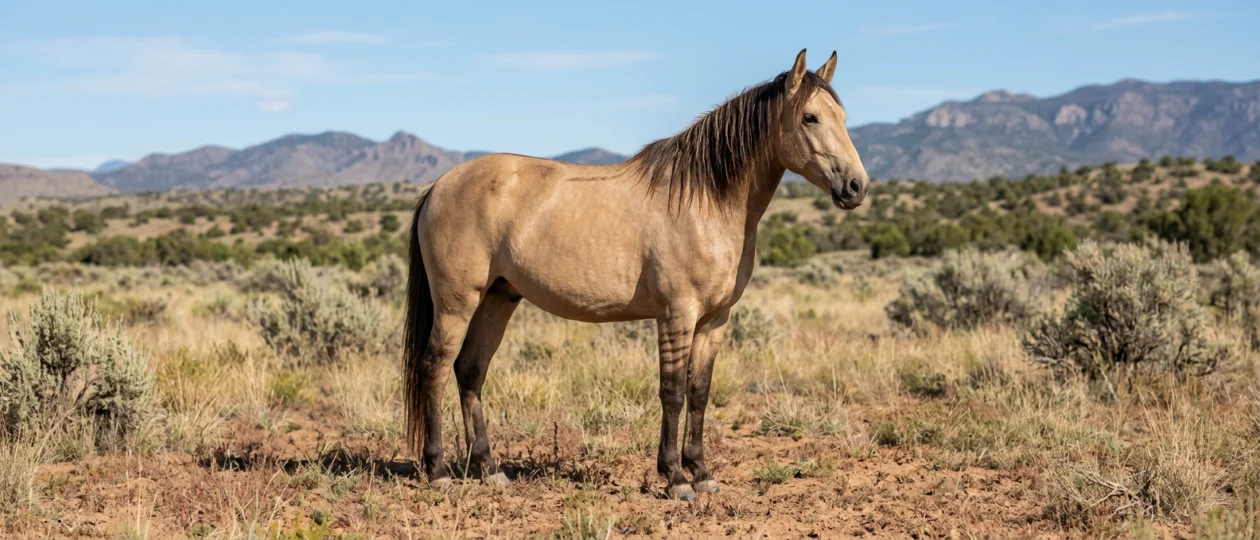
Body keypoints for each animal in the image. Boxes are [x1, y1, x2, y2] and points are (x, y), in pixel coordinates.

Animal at [403, 49, 869, 500]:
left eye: (843, 117)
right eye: (810, 117)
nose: (857, 187)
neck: (704, 200)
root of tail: (438, 186)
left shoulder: (715, 320)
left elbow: (699, 392)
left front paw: (702, 473)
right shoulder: (677, 315)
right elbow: (673, 392)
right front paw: (676, 479)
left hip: (498, 298)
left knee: (470, 370)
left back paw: (489, 469)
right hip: (457, 302)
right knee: (435, 367)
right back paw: (439, 472)